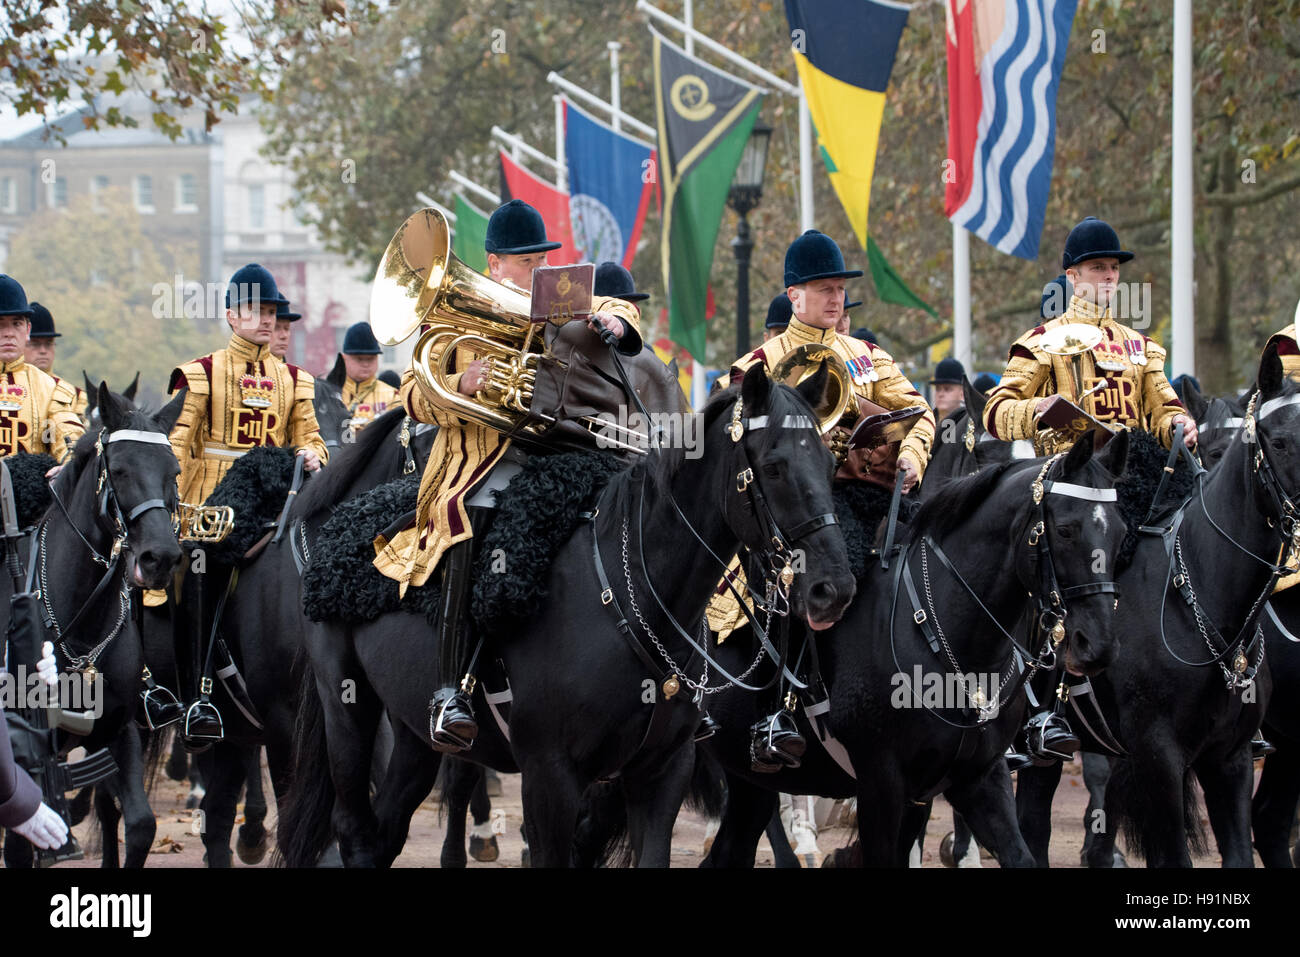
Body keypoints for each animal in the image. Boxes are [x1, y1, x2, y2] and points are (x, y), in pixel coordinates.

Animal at [1, 382, 185, 868]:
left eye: (174, 470)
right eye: (118, 470)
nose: (160, 558)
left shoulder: (118, 731)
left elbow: (138, 823)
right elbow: (22, 840)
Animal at [279, 366, 857, 868]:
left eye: (832, 465)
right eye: (775, 465)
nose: (834, 589)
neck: (632, 598)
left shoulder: (661, 774)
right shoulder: (549, 776)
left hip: (412, 732)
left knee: (387, 828)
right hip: (347, 706)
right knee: (354, 829)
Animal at [696, 434, 1133, 868]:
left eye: (1120, 532)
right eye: (1066, 530)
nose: (1098, 645)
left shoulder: (976, 779)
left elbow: (1019, 854)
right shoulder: (881, 782)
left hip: (751, 779)